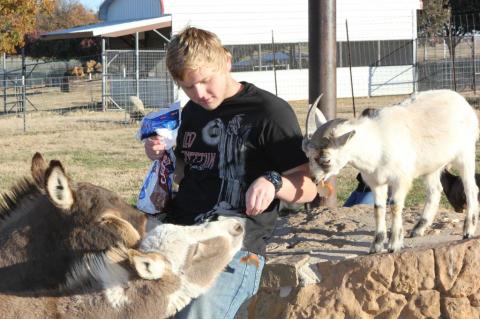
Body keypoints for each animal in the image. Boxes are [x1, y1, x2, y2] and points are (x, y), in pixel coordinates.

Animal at [304, 90, 480, 255]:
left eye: (326, 159)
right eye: (307, 155)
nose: (314, 178)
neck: (376, 142)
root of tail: (462, 101)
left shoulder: (400, 179)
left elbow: (395, 205)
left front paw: (394, 245)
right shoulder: (376, 182)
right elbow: (378, 208)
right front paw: (376, 246)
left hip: (465, 153)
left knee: (470, 188)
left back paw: (468, 231)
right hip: (432, 166)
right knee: (435, 190)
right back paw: (418, 229)